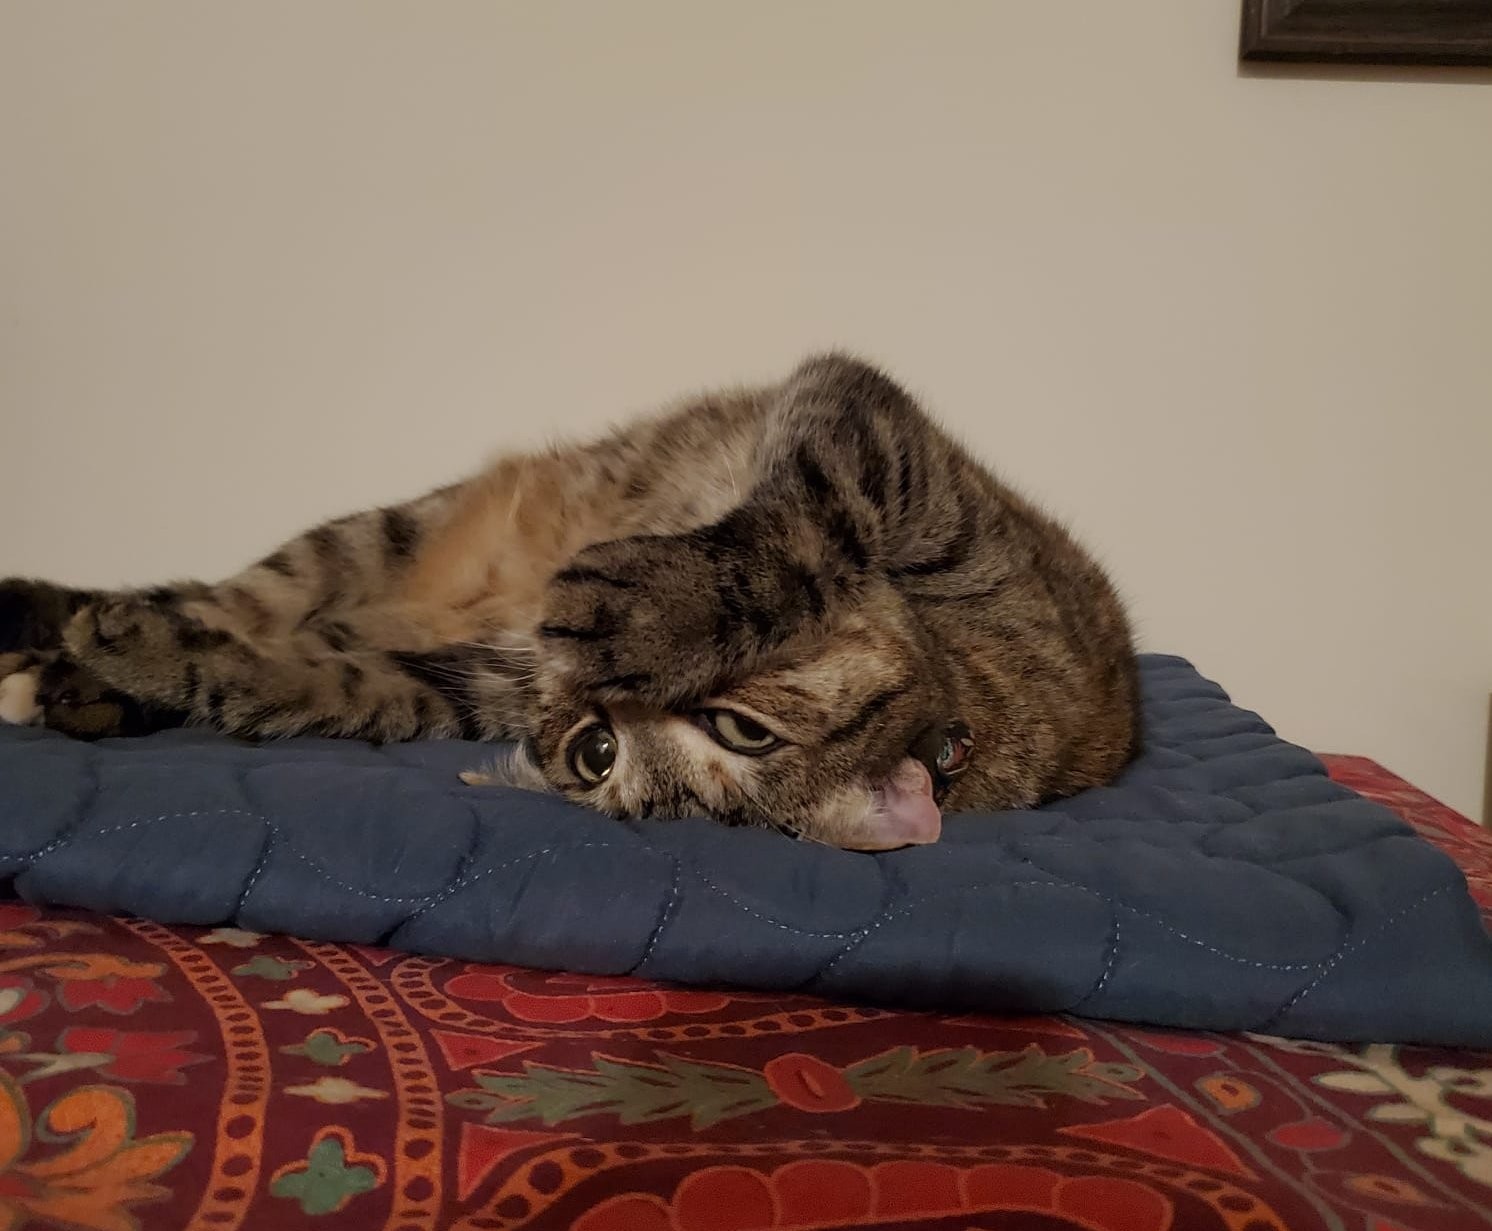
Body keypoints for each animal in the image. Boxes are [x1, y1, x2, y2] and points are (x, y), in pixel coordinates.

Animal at [0, 354, 1140, 850]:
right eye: (742, 727)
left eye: (595, 757)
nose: (596, 714)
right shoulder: (883, 445)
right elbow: (793, 525)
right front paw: (647, 605)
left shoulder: (479, 683)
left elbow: (324, 681)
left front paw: (161, 661)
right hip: (369, 536)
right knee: (223, 589)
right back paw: (48, 624)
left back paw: (78, 680)